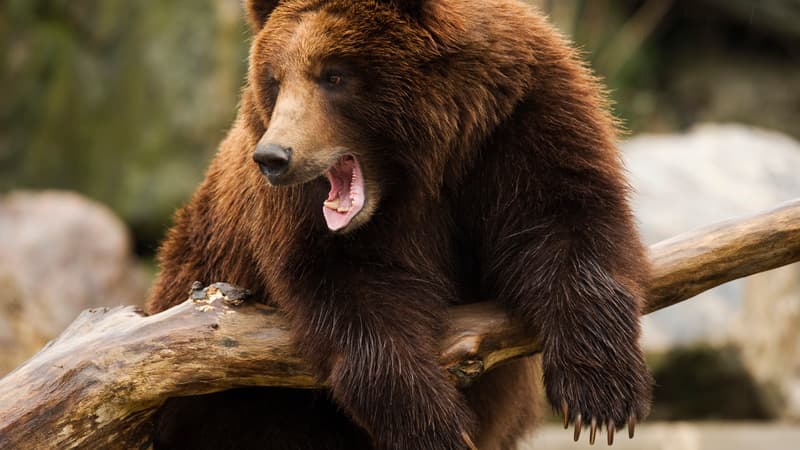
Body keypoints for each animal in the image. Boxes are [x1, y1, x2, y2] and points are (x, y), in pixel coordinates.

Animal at [147, 0, 652, 448]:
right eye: (274, 78)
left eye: (334, 74)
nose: (274, 157)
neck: (423, 163)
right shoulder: (307, 224)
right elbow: (356, 301)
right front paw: (437, 426)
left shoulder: (519, 120)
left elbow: (565, 220)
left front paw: (600, 396)